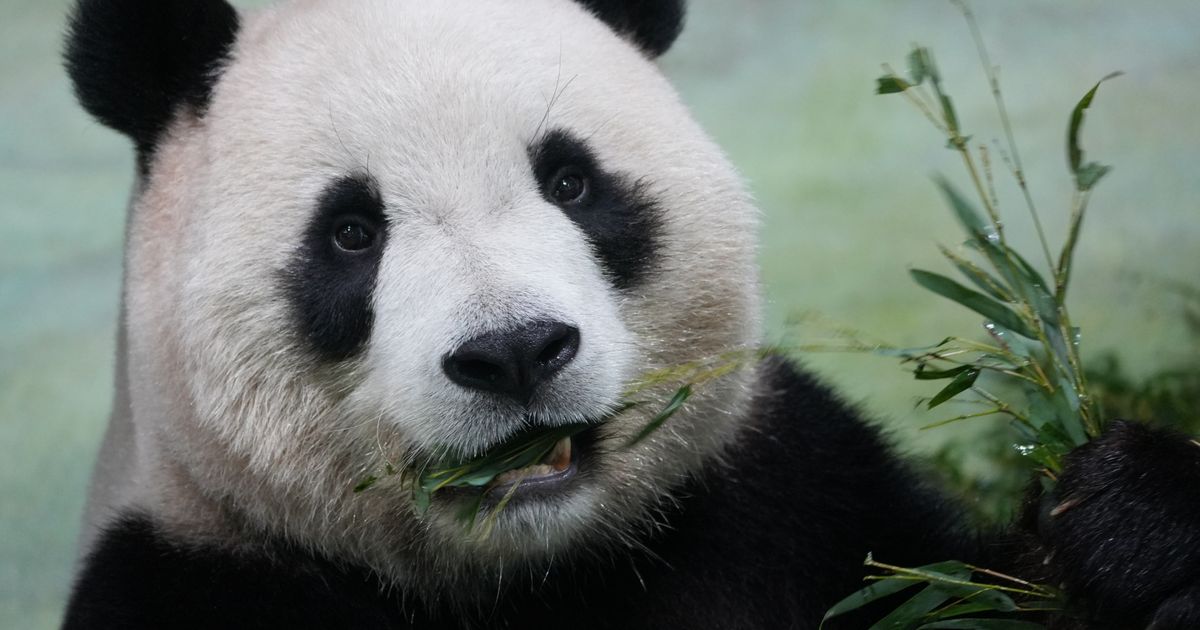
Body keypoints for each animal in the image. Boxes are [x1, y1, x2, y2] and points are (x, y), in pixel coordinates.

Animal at [61, 0, 1200, 628]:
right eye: (350, 232)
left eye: (570, 181)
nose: (515, 351)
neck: (536, 573)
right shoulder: (195, 580)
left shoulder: (789, 494)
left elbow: (970, 583)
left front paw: (1130, 521)